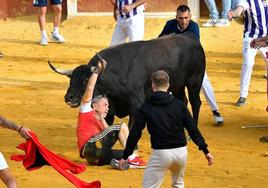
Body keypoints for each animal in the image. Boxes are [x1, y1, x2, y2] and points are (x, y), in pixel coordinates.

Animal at [49, 33, 206, 128]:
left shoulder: (136, 103)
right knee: (183, 100)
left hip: (194, 81)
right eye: (71, 79)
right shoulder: (109, 108)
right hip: (177, 85)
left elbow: (131, 126)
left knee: (195, 102)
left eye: (87, 79)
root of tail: (191, 38)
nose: (69, 97)